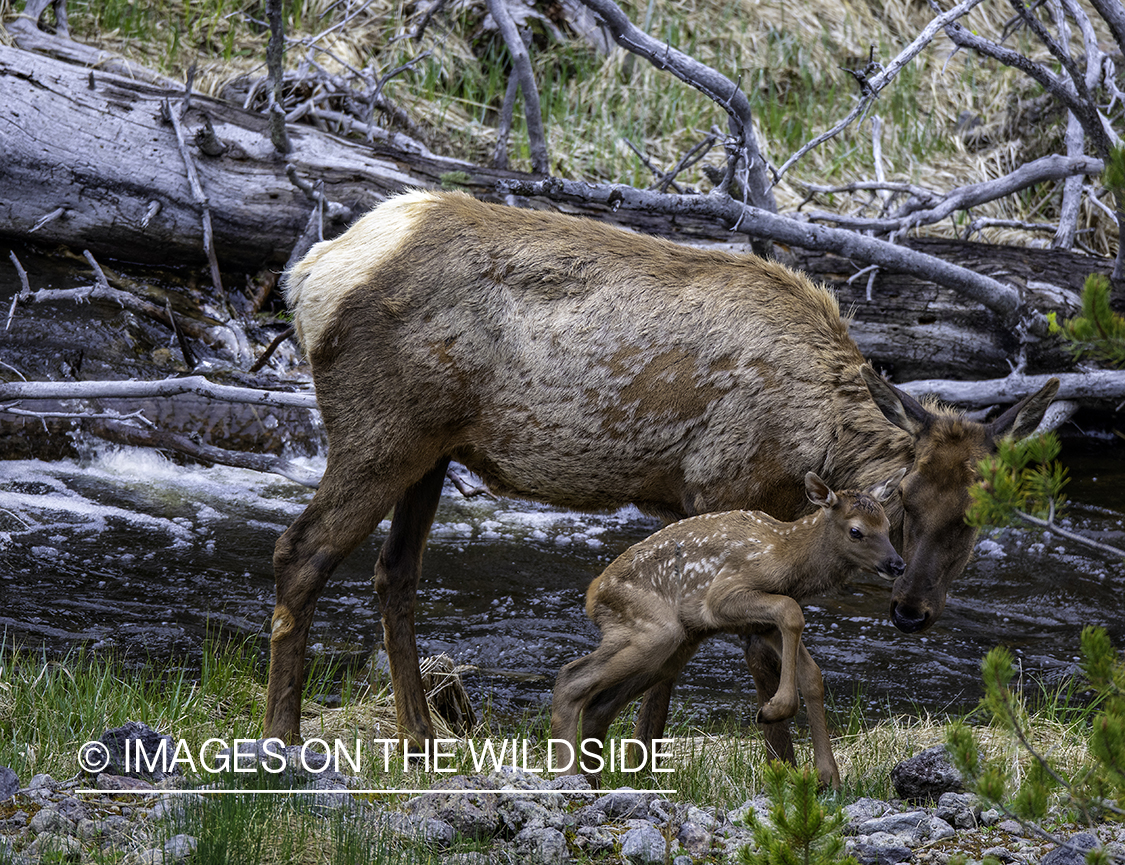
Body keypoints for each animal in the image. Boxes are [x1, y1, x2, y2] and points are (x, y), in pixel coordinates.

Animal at [267, 191, 1057, 755]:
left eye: (980, 516)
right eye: (906, 501)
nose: (911, 609)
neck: (811, 441)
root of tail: (306, 274)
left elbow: (695, 650)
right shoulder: (719, 486)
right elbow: (738, 649)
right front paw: (768, 764)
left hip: (432, 451)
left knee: (394, 571)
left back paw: (420, 736)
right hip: (379, 430)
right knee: (302, 548)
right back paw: (283, 737)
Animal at [551, 467, 904, 787]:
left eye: (888, 526)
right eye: (856, 531)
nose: (897, 564)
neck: (786, 558)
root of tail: (592, 595)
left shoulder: (762, 625)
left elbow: (812, 673)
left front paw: (829, 777)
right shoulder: (722, 595)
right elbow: (791, 612)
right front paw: (774, 709)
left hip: (673, 646)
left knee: (599, 704)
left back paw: (594, 781)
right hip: (653, 630)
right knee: (571, 678)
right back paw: (569, 780)